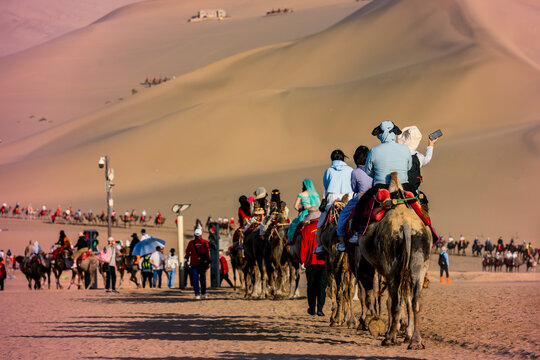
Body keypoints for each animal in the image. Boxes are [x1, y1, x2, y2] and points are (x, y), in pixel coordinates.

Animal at [360, 173, 432, 350]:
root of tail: (405, 225)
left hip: (391, 264)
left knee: (395, 301)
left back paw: (390, 338)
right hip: (419, 259)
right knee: (415, 300)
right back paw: (416, 342)